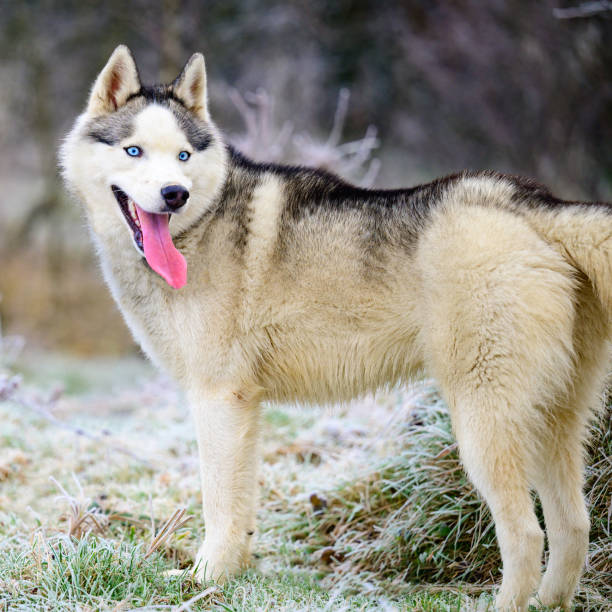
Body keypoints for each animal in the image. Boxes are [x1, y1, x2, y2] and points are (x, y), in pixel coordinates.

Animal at [59, 45, 608, 608]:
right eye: (134, 151)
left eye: (184, 157)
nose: (175, 194)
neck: (201, 228)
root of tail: (532, 203)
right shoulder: (244, 407)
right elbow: (241, 509)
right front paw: (229, 577)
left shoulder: (217, 399)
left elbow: (218, 505)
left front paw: (202, 580)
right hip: (553, 425)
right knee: (574, 527)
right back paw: (550, 601)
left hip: (483, 428)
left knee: (526, 534)